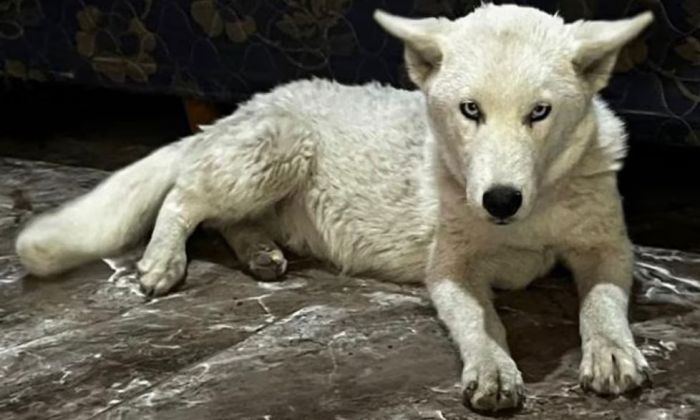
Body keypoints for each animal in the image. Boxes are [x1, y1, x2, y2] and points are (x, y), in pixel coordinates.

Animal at [15, 4, 654, 412]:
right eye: (470, 110)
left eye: (539, 112)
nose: (499, 200)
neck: (536, 207)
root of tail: (245, 105)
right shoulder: (451, 268)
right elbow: (481, 320)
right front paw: (495, 366)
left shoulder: (607, 248)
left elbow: (601, 303)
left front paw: (611, 352)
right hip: (277, 148)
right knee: (185, 198)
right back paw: (163, 261)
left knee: (225, 219)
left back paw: (260, 253)